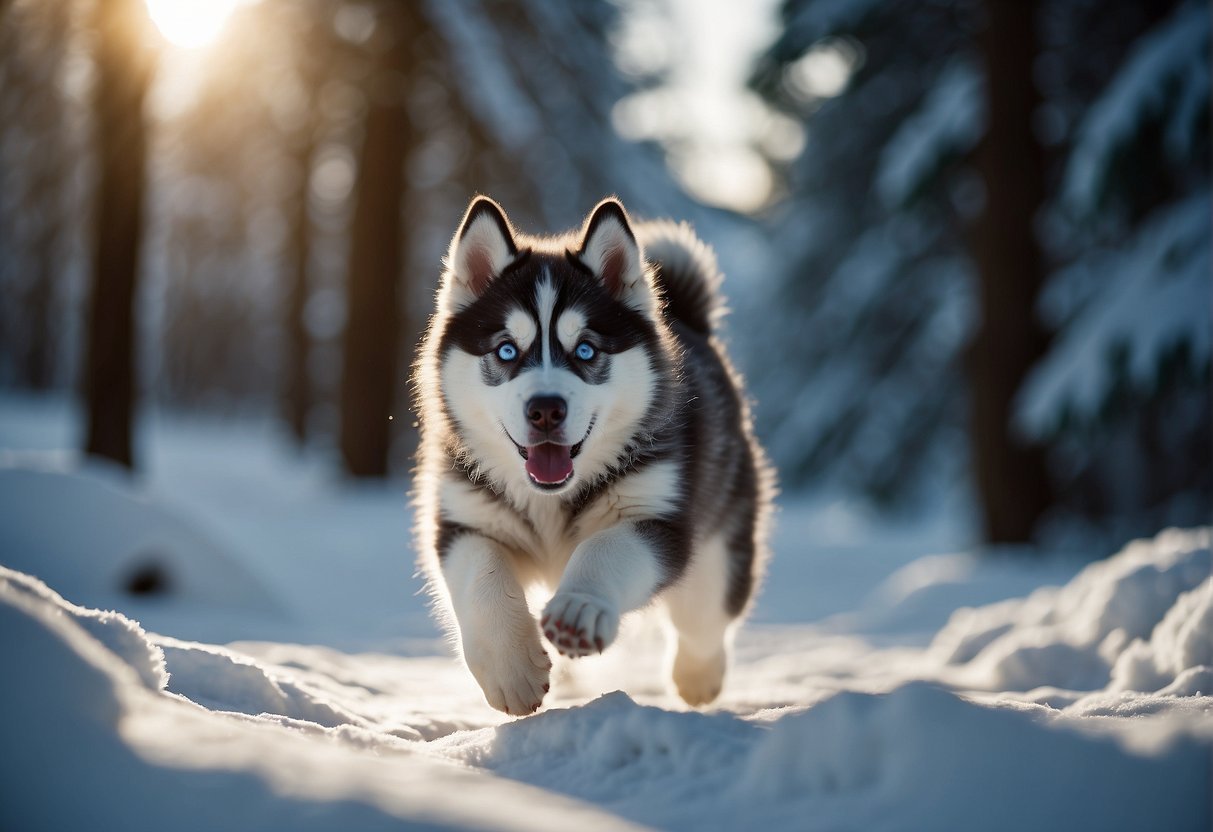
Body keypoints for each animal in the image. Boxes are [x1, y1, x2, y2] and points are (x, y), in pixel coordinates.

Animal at [417, 197, 771, 717]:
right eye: (506, 351)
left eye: (585, 350)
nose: (545, 409)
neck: (550, 498)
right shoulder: (466, 519)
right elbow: (481, 578)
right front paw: (510, 668)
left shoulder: (655, 515)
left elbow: (605, 549)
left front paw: (579, 608)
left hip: (720, 538)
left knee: (705, 614)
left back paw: (698, 675)